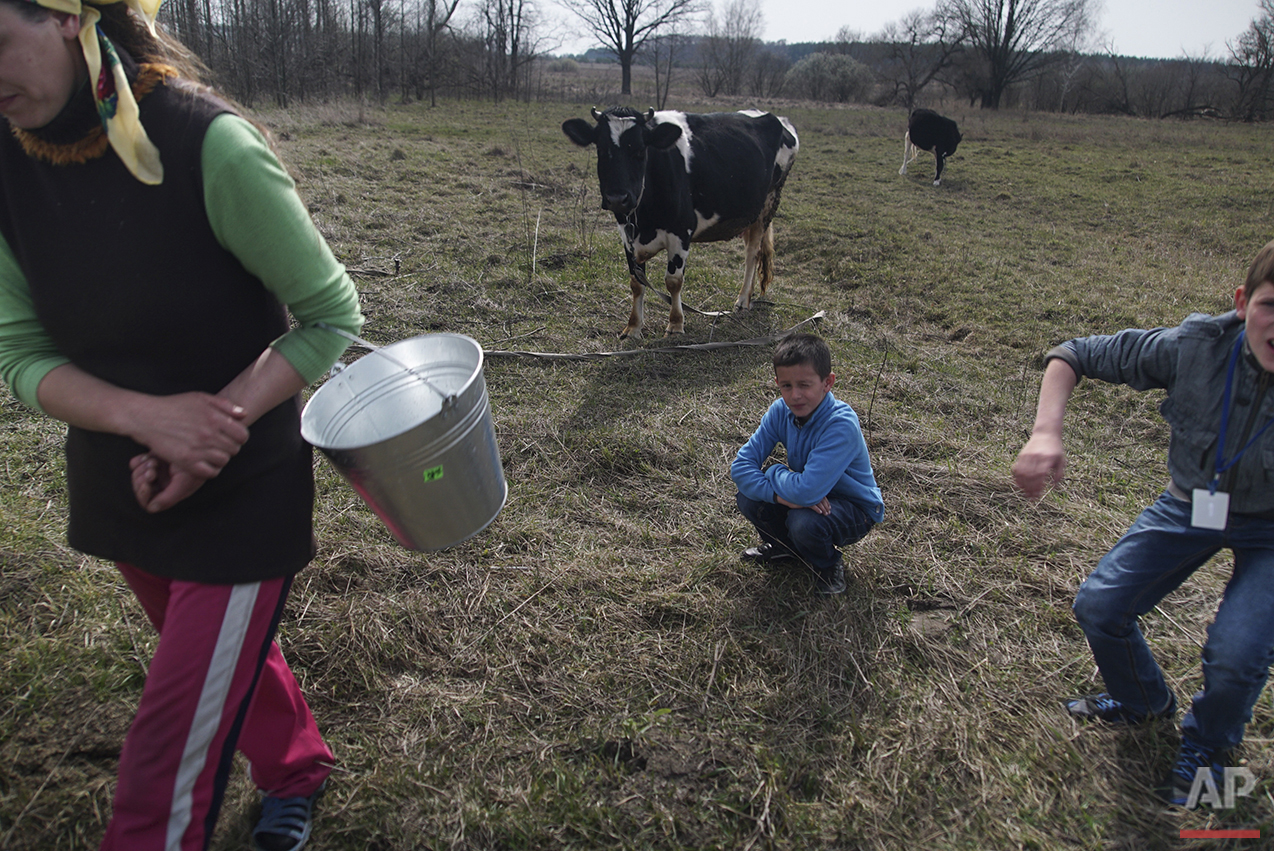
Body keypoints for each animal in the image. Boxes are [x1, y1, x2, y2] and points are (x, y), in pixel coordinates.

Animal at [560, 108, 794, 341]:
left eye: (640, 150)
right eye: (600, 149)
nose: (617, 198)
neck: (644, 220)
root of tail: (774, 116)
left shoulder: (681, 231)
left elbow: (673, 281)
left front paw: (675, 324)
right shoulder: (626, 235)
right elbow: (637, 283)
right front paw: (633, 327)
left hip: (769, 204)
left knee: (752, 254)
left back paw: (743, 300)